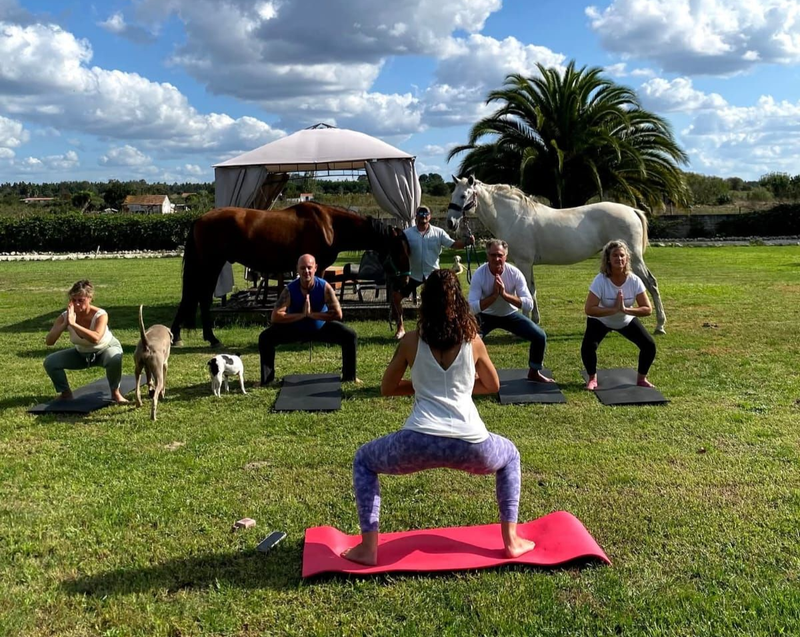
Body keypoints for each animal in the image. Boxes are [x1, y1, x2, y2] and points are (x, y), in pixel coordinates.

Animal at [171, 202, 411, 346]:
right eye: (399, 250)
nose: (406, 282)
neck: (330, 225)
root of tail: (199, 219)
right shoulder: (317, 268)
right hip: (209, 264)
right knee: (197, 297)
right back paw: (194, 337)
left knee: (198, 297)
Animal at [447, 175, 666, 334]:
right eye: (453, 194)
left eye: (464, 195)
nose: (450, 223)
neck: (514, 216)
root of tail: (631, 210)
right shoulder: (528, 264)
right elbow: (532, 290)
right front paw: (535, 320)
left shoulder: (523, 263)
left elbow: (526, 291)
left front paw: (528, 320)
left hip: (633, 259)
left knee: (651, 283)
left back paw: (660, 325)